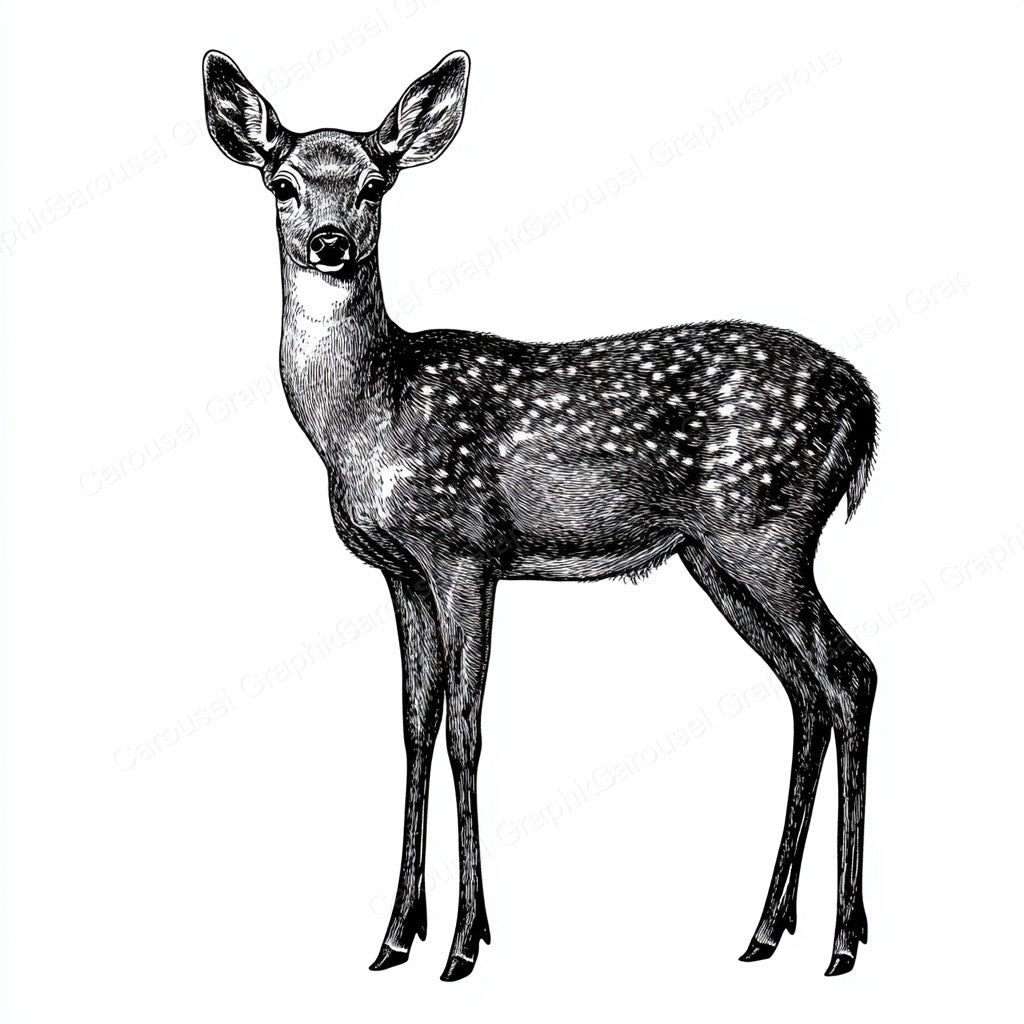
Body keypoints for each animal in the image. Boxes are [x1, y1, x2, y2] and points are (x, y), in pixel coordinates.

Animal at [203, 48, 878, 983]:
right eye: (282, 183)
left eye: (376, 183)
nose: (329, 243)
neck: (368, 416)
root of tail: (865, 401)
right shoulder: (401, 572)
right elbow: (413, 724)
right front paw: (395, 934)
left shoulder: (465, 549)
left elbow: (466, 729)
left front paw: (463, 941)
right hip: (716, 556)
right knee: (806, 691)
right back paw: (769, 930)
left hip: (768, 530)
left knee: (851, 675)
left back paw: (844, 939)